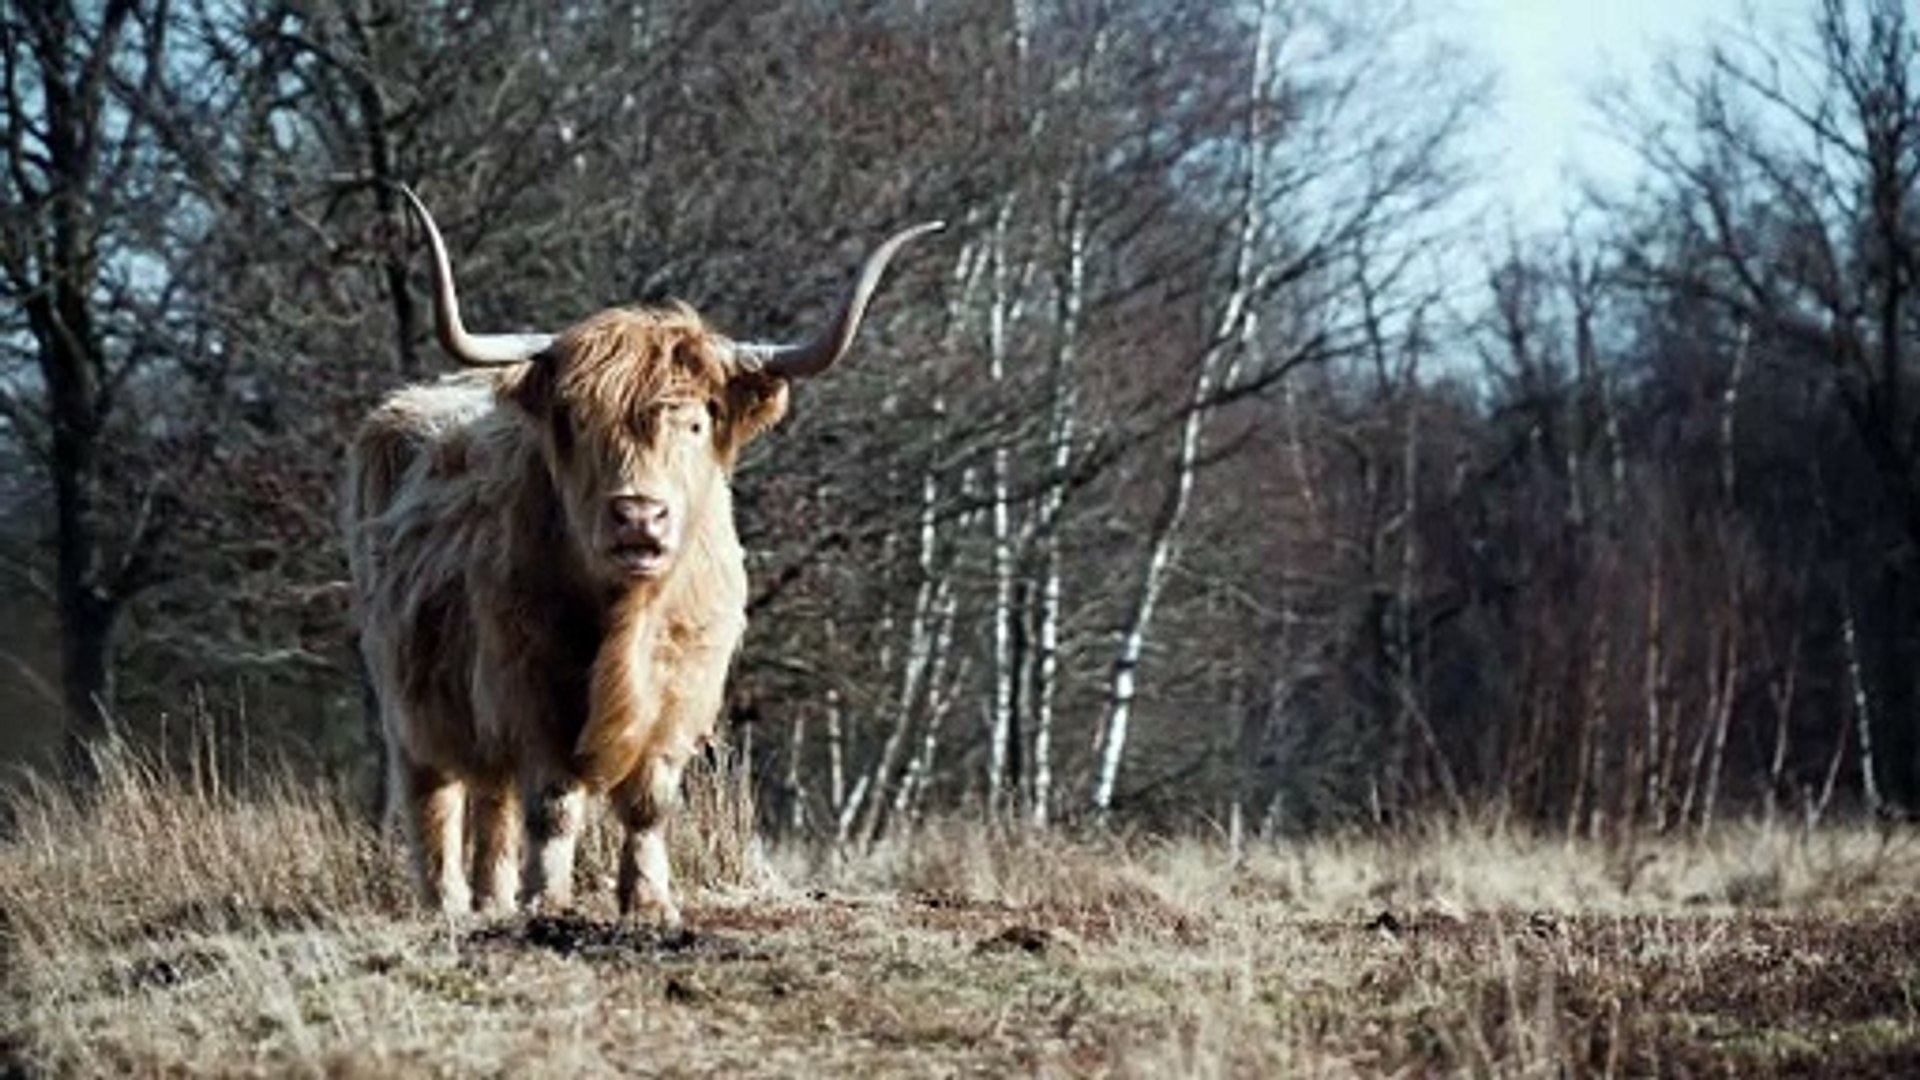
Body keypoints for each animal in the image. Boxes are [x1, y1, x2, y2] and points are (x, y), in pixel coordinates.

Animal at [344, 186, 939, 923]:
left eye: (697, 421)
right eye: (575, 421)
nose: (637, 514)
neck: (628, 614)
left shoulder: (682, 685)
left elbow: (649, 802)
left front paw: (650, 902)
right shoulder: (530, 685)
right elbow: (553, 804)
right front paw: (548, 899)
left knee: (492, 800)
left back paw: (492, 899)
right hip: (407, 698)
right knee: (435, 794)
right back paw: (449, 904)